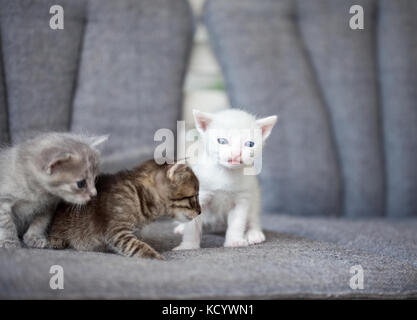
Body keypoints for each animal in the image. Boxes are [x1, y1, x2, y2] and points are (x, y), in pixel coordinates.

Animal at [48, 160, 201, 260]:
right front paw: (155, 256)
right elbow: (136, 246)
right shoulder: (117, 231)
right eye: (194, 196)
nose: (200, 211)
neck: (141, 196)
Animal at [172, 109, 276, 250]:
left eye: (250, 144)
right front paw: (188, 246)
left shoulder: (242, 198)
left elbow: (238, 223)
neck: (226, 173)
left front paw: (234, 241)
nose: (236, 154)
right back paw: (182, 227)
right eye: (222, 141)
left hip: (254, 196)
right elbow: (192, 227)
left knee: (253, 216)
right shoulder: (200, 196)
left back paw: (254, 233)